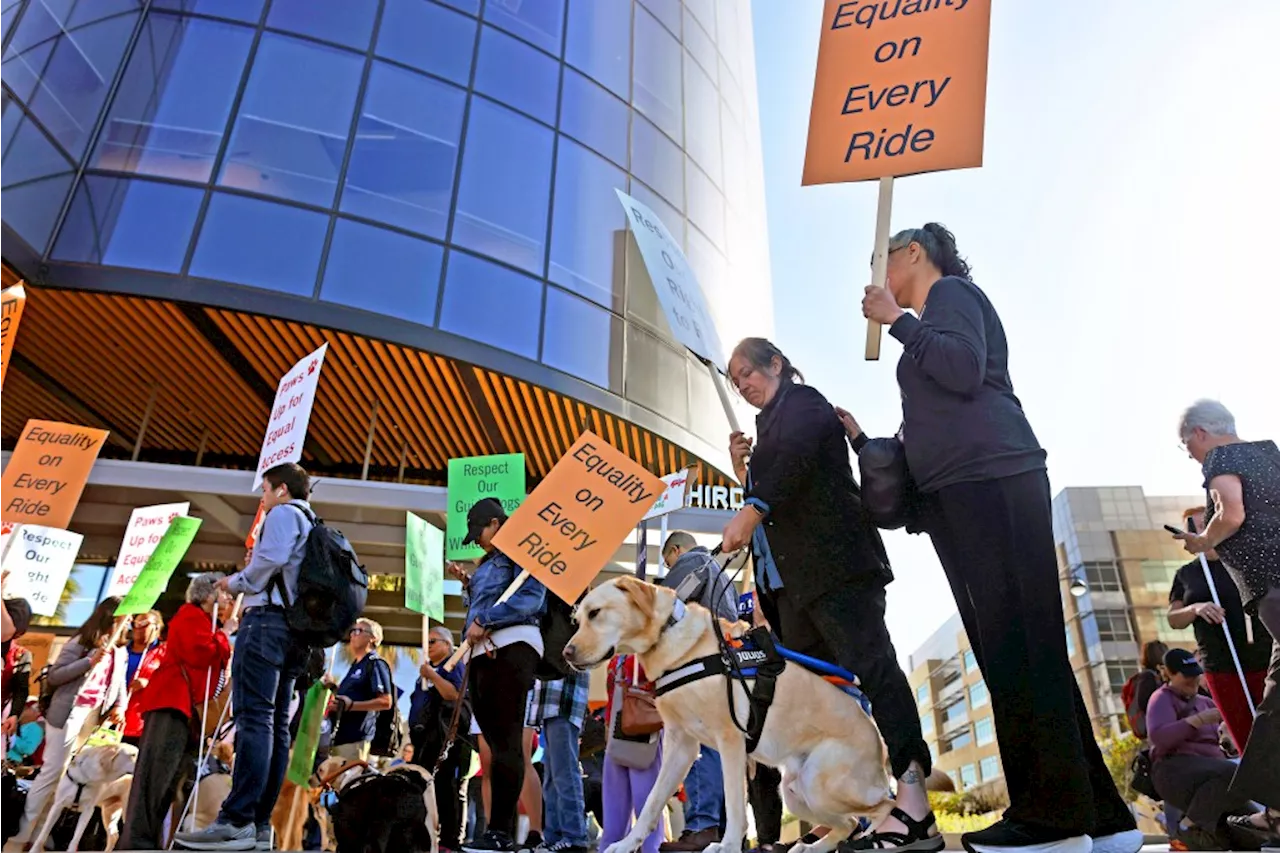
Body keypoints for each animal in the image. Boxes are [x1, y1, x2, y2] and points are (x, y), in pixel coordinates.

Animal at [565, 578, 896, 853]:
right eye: (577, 620)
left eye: (596, 613)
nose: (566, 654)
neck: (670, 638)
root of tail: (881, 747)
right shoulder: (681, 746)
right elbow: (651, 802)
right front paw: (625, 844)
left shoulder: (731, 740)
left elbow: (735, 803)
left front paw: (727, 845)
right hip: (795, 791)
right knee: (849, 822)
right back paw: (812, 848)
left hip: (818, 781)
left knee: (883, 807)